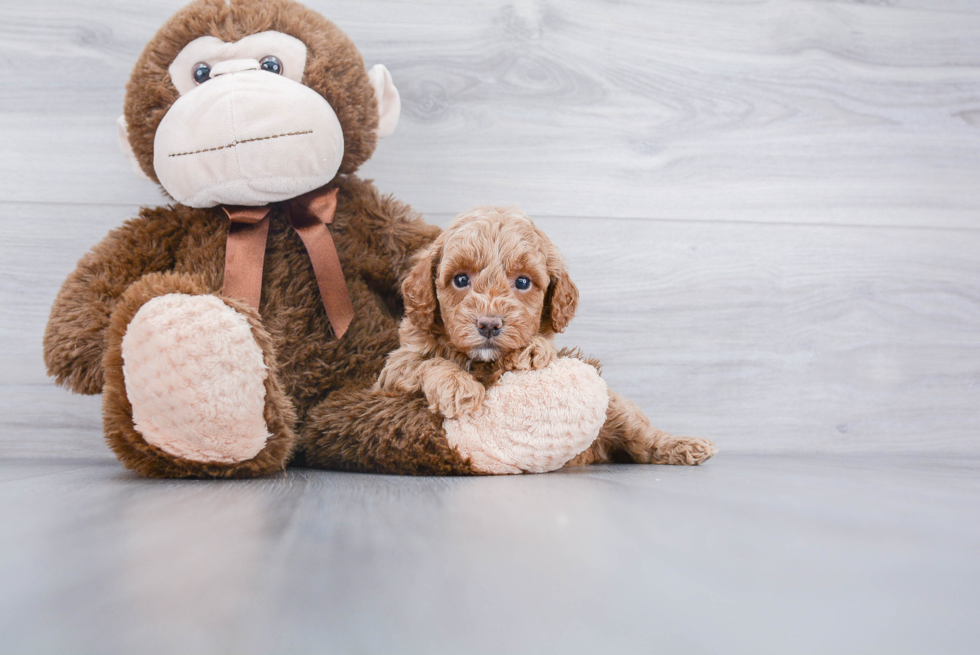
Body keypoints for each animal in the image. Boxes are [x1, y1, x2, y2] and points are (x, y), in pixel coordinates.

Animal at [374, 205, 712, 466]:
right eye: (460, 280)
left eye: (523, 282)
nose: (489, 325)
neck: (481, 362)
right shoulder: (392, 371)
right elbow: (426, 363)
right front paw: (458, 387)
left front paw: (533, 348)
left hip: (615, 408)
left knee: (641, 439)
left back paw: (684, 445)